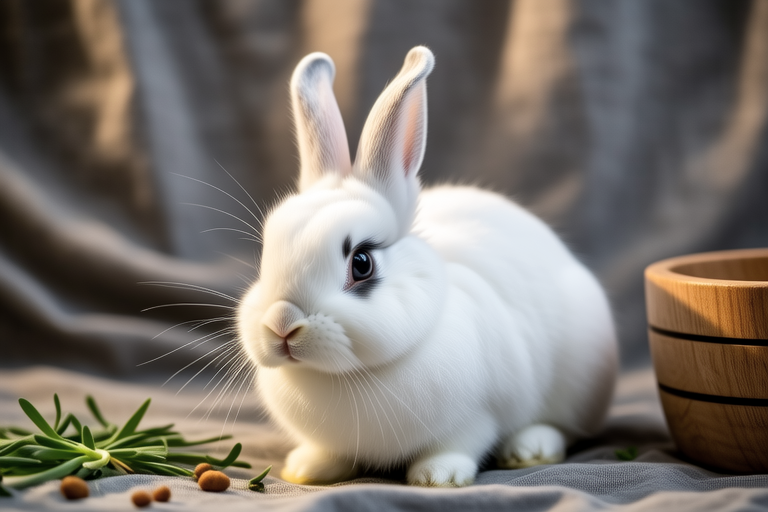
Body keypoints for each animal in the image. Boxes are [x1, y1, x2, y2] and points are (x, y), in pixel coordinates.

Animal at [237, 46, 618, 487]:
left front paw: (439, 477)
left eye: (362, 263)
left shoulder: (476, 417)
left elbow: (459, 444)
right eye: (267, 252)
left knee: (564, 427)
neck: (345, 377)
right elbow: (329, 452)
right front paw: (307, 469)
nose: (282, 324)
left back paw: (530, 448)